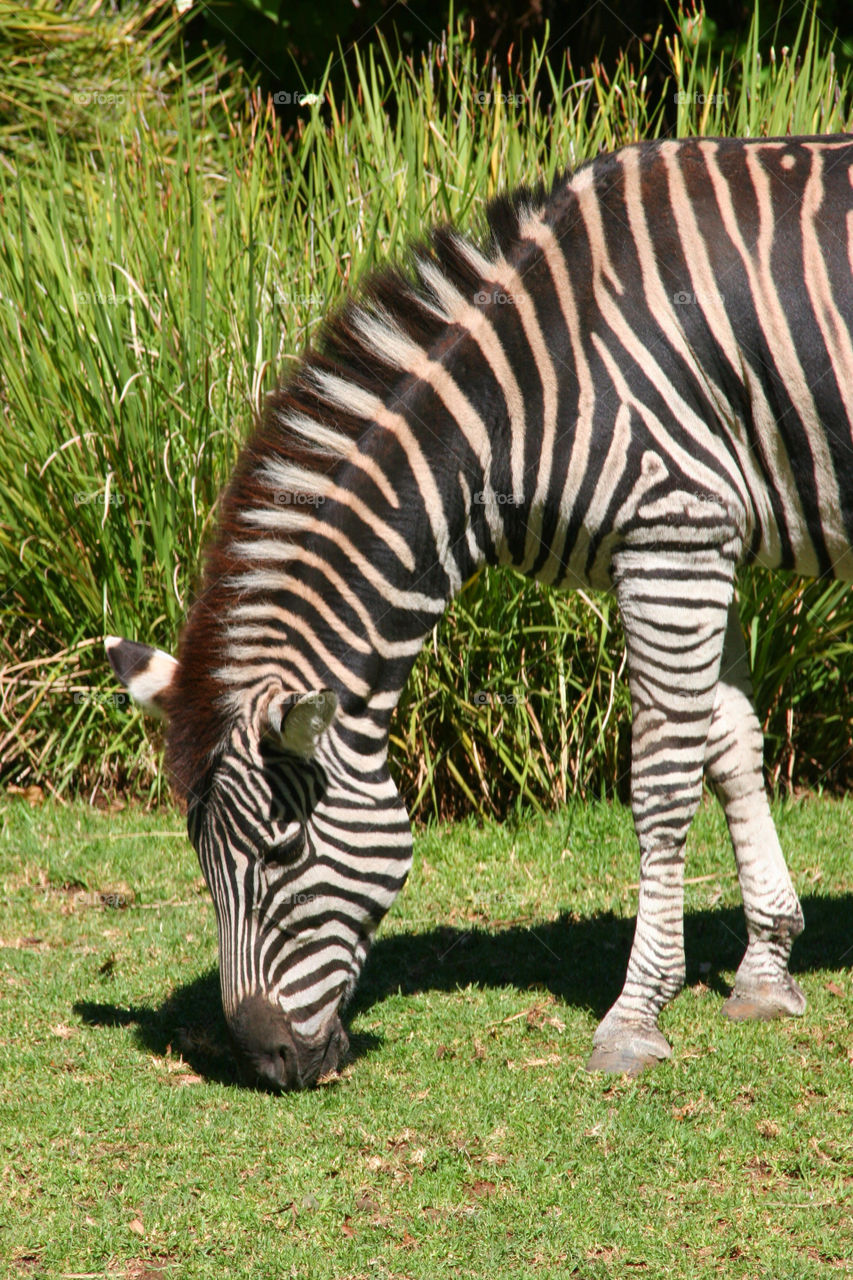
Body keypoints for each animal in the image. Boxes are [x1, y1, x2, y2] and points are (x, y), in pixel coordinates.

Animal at [106, 132, 850, 1090]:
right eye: (201, 861)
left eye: (281, 854)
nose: (269, 1063)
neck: (528, 395)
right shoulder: (707, 534)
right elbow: (729, 744)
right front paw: (764, 969)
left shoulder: (671, 530)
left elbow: (662, 778)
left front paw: (634, 1016)